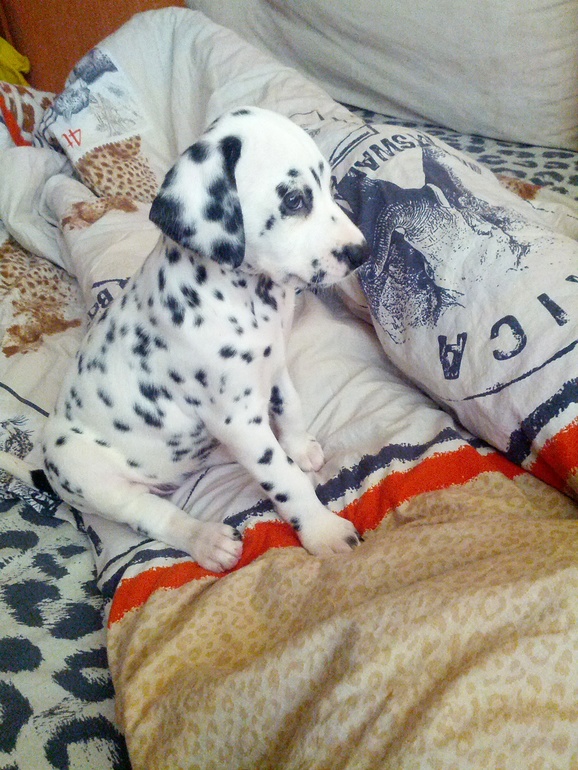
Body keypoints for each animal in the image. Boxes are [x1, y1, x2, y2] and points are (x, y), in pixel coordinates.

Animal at [2, 107, 369, 572]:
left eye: (328, 188)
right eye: (293, 200)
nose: (363, 253)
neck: (242, 295)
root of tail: (47, 471)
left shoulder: (274, 365)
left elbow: (290, 409)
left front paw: (300, 448)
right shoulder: (237, 418)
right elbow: (284, 478)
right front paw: (323, 530)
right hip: (94, 475)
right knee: (153, 515)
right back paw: (208, 540)